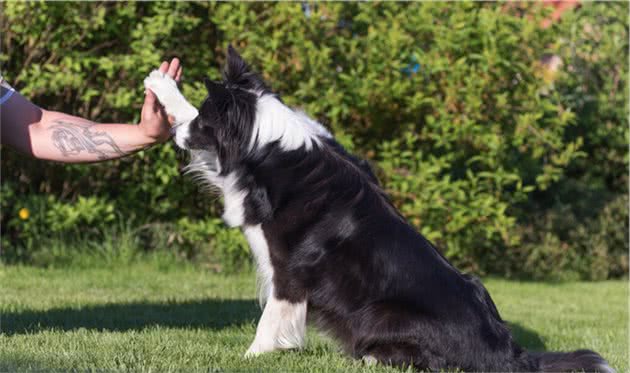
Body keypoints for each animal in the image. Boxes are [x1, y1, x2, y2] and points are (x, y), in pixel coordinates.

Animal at [146, 46, 616, 372]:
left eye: (204, 123)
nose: (175, 137)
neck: (264, 140)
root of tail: (509, 353)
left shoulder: (289, 267)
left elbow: (270, 318)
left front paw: (250, 356)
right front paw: (164, 86)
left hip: (380, 310)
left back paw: (371, 357)